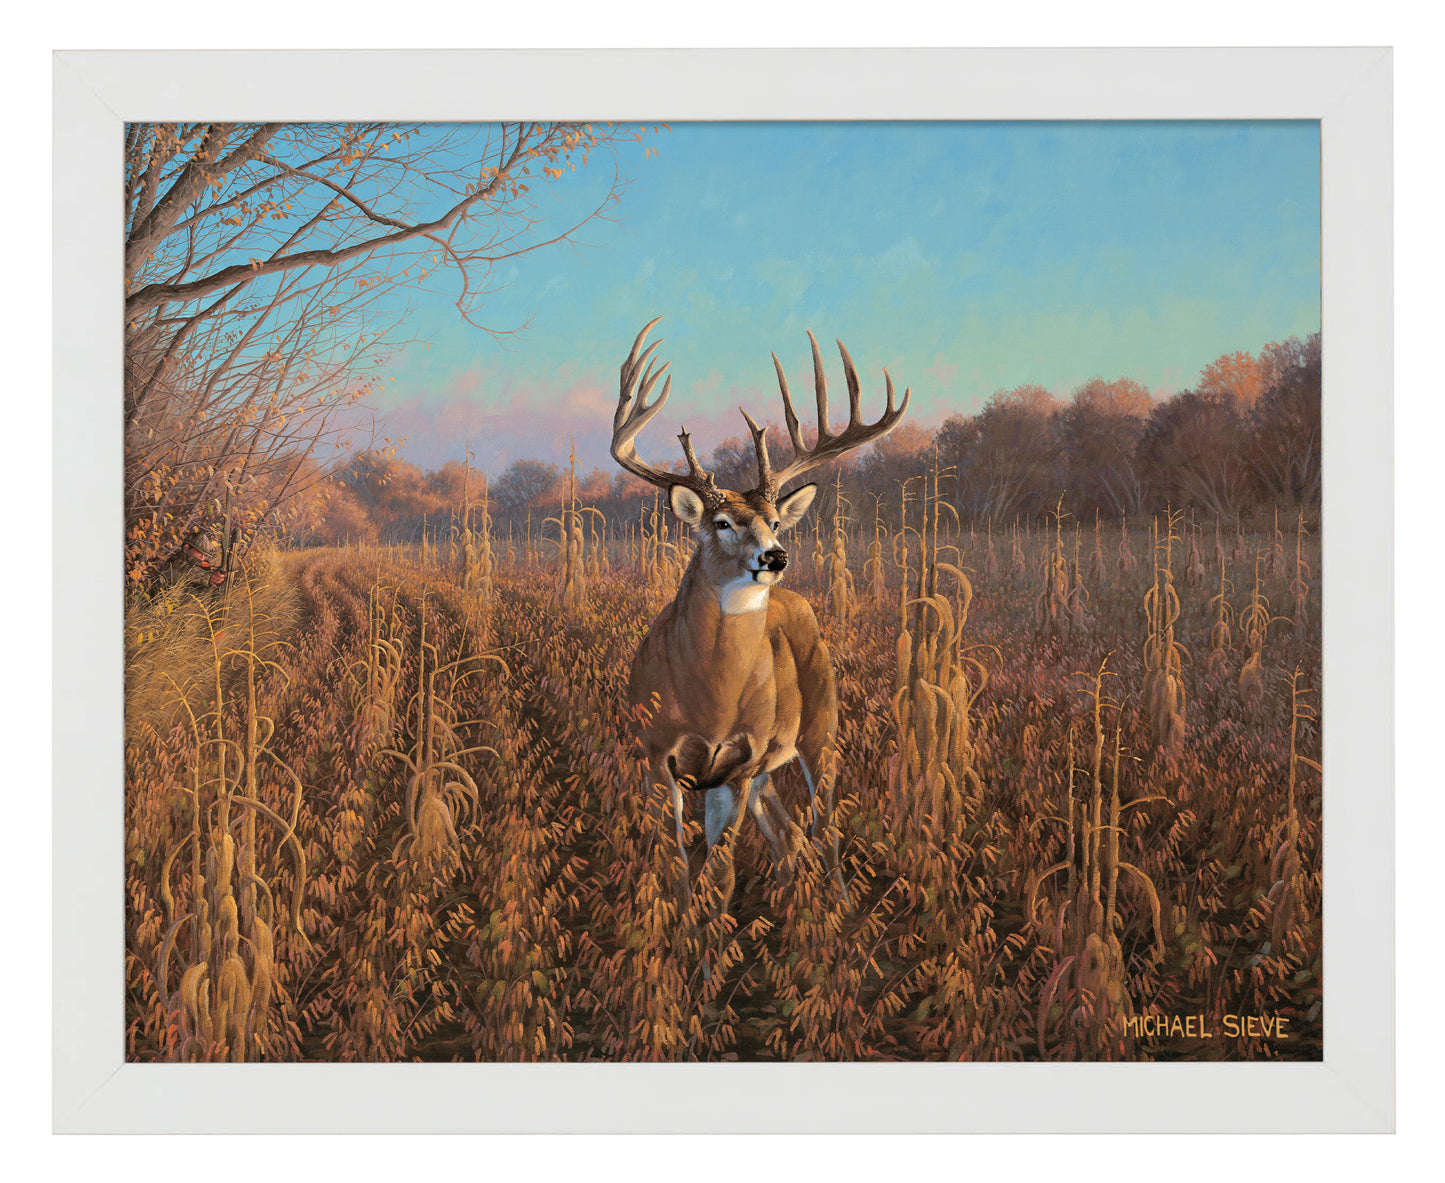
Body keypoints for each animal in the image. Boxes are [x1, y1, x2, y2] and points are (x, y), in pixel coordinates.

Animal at [611, 318, 911, 919]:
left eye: (774, 519)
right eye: (722, 522)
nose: (774, 556)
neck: (710, 700)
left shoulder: (741, 761)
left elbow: (720, 873)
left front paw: (709, 939)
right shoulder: (656, 755)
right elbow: (680, 868)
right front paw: (684, 938)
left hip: (822, 726)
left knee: (824, 825)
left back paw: (839, 911)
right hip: (772, 761)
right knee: (788, 830)